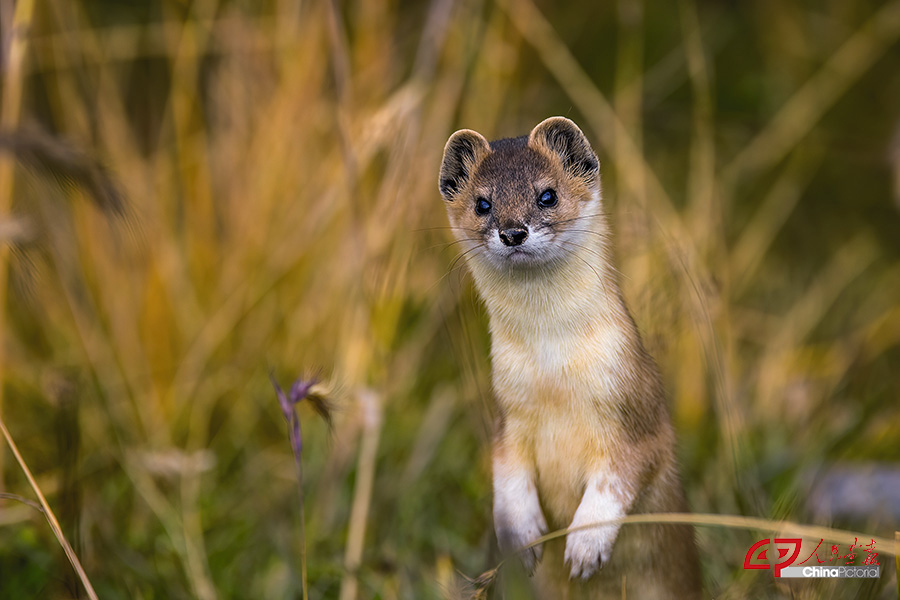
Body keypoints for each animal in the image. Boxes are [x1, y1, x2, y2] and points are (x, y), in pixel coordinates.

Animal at [440, 115, 700, 596]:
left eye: (548, 194)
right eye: (483, 203)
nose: (513, 231)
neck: (553, 375)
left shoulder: (638, 410)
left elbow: (618, 478)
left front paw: (584, 546)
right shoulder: (507, 412)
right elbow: (507, 477)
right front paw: (522, 538)